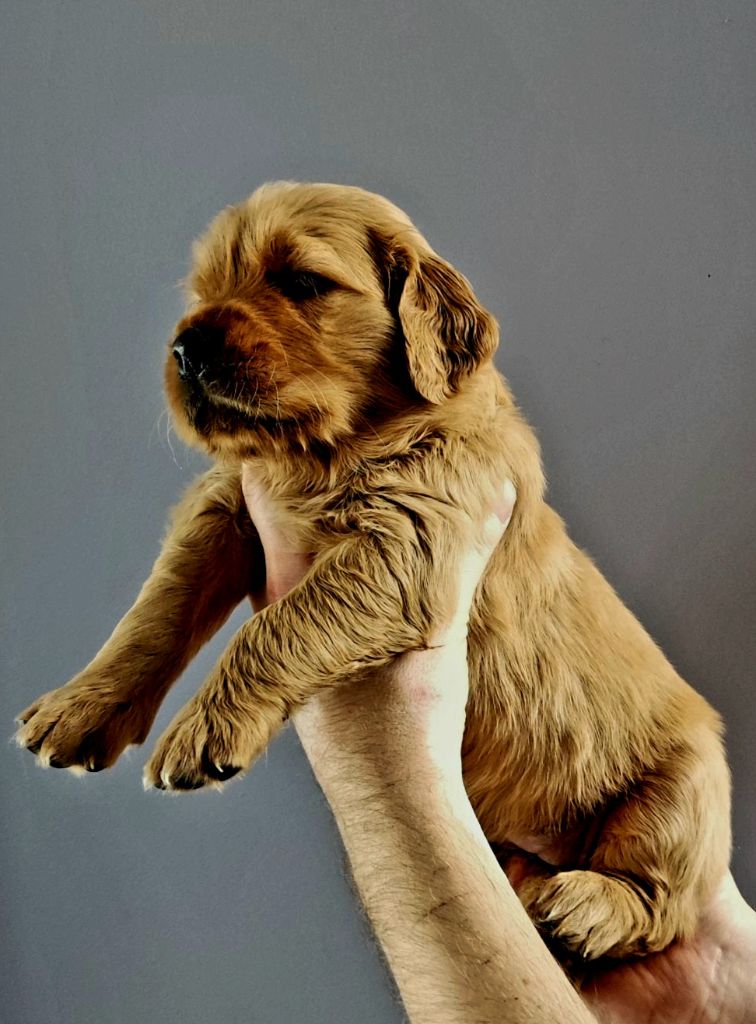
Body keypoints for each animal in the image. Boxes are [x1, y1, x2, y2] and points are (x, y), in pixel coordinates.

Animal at [16, 181, 731, 960]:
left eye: (302, 282)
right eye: (204, 291)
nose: (184, 348)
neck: (323, 454)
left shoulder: (410, 538)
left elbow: (277, 622)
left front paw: (208, 726)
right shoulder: (226, 506)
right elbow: (157, 608)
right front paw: (79, 707)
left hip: (685, 789)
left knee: (661, 902)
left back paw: (585, 908)